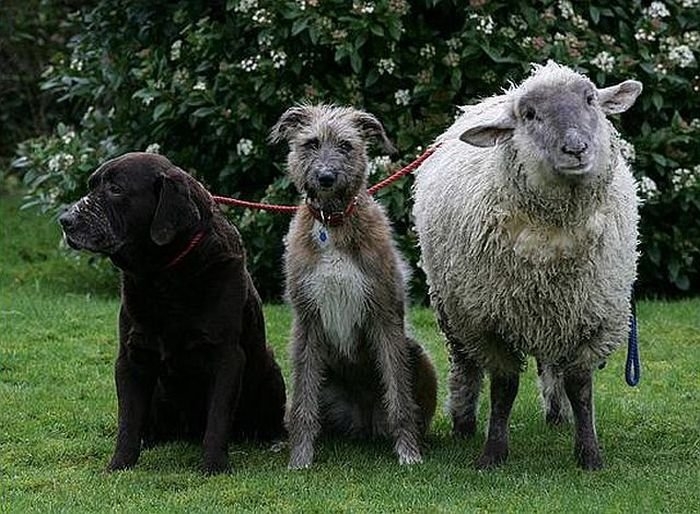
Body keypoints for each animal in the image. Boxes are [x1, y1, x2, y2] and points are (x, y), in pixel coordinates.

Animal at [58, 152, 286, 472]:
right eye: (92, 186)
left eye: (115, 189)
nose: (65, 221)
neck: (162, 276)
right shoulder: (131, 357)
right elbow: (128, 421)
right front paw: (119, 465)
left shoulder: (227, 356)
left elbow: (218, 418)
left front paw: (214, 466)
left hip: (271, 372)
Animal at [270, 104, 438, 468]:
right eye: (311, 143)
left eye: (346, 145)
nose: (325, 178)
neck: (332, 223)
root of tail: (364, 419)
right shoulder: (307, 321)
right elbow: (303, 403)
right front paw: (300, 458)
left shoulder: (385, 314)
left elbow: (400, 396)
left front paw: (408, 453)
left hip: (418, 354)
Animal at [412, 61, 644, 468]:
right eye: (530, 114)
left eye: (590, 99)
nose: (576, 149)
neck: (558, 230)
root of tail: (493, 98)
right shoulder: (487, 323)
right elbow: (504, 388)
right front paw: (493, 453)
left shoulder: (594, 318)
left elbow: (580, 387)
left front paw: (589, 454)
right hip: (452, 310)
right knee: (464, 367)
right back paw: (463, 422)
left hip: (557, 316)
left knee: (552, 366)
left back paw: (557, 415)